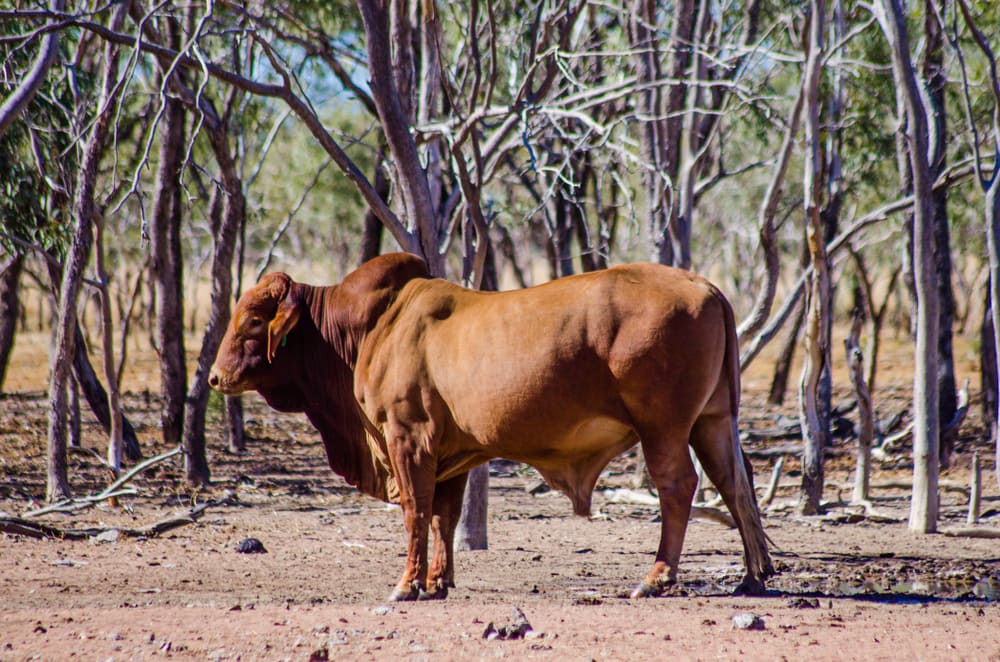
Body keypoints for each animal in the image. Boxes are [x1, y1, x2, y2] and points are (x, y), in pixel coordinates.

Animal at [209, 253, 772, 600]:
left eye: (254, 321)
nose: (215, 377)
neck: (369, 327)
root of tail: (705, 285)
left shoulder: (407, 437)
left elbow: (415, 511)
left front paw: (407, 584)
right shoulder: (448, 454)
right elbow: (443, 516)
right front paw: (437, 582)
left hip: (664, 427)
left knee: (679, 487)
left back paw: (655, 578)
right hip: (714, 420)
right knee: (735, 484)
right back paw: (754, 576)